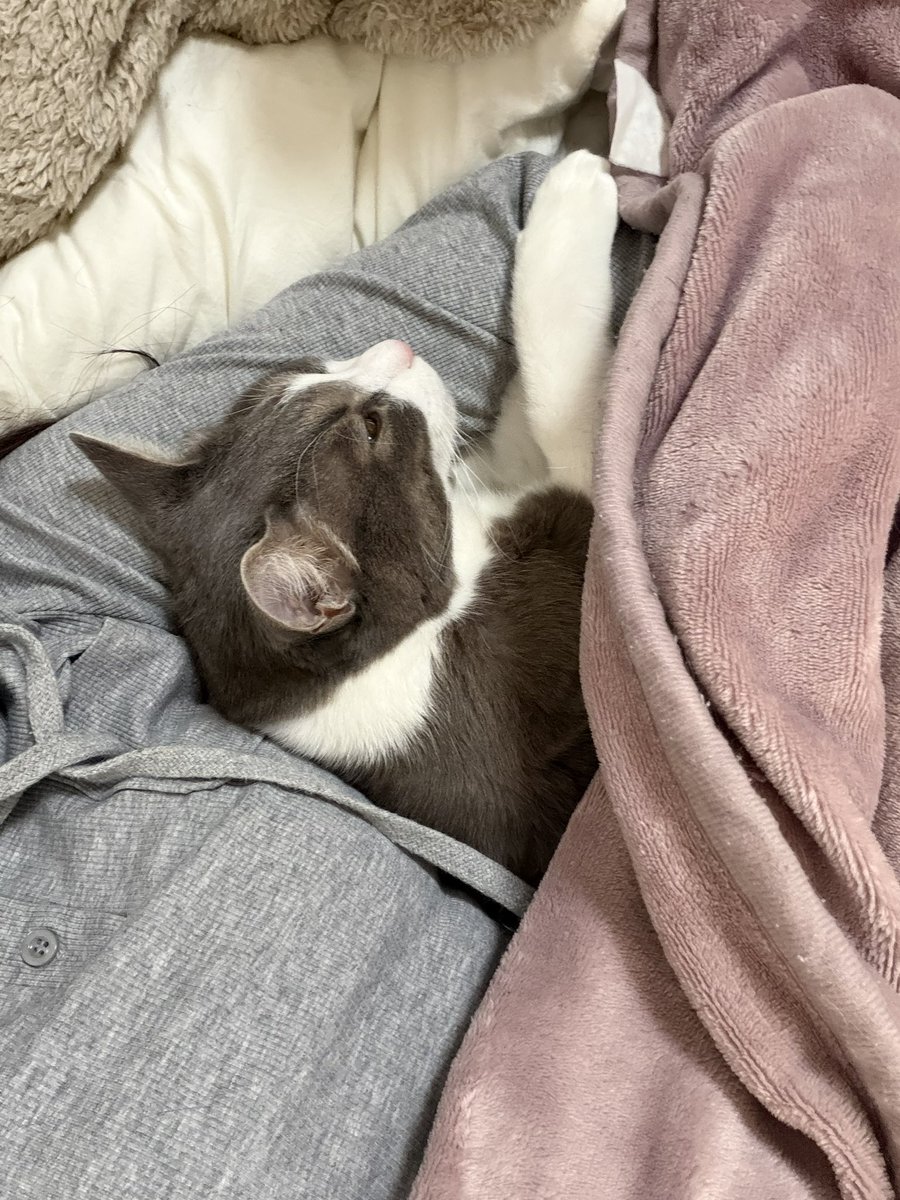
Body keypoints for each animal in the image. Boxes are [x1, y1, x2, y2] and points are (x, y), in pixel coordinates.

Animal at [72, 151, 618, 885]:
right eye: (372, 428)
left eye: (310, 371)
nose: (399, 347)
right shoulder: (554, 584)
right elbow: (563, 404)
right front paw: (579, 188)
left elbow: (516, 426)